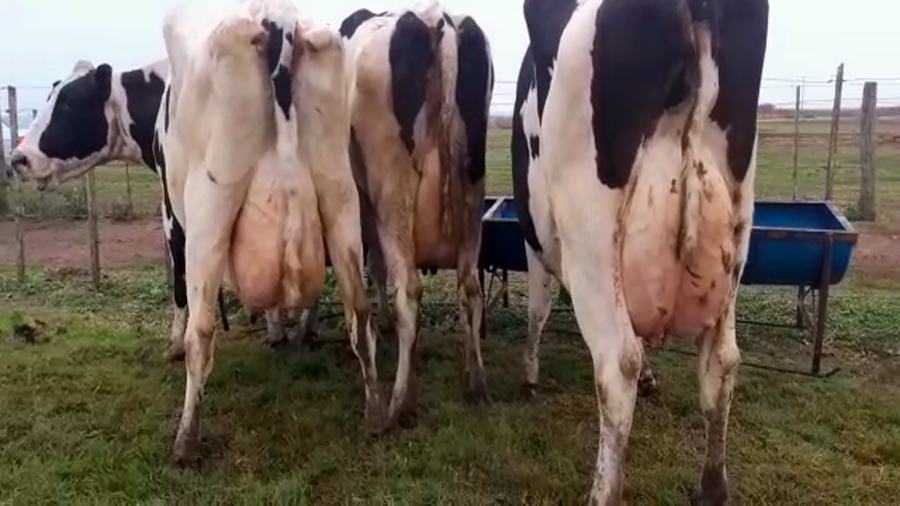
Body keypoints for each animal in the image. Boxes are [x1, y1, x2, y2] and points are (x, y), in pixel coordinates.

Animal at [158, 0, 384, 463]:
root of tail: (275, 16)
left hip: (210, 206)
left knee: (202, 331)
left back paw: (186, 440)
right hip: (339, 193)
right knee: (359, 308)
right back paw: (375, 412)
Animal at [334, 3, 494, 426]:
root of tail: (438, 18)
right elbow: (376, 268)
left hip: (394, 196)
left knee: (409, 290)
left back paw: (399, 401)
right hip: (472, 193)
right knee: (470, 288)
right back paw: (476, 381)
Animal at [511, 0, 769, 503]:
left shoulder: (537, 238)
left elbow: (537, 308)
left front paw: (528, 374)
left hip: (592, 238)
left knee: (616, 365)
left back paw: (602, 492)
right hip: (738, 231)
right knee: (722, 360)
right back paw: (712, 486)